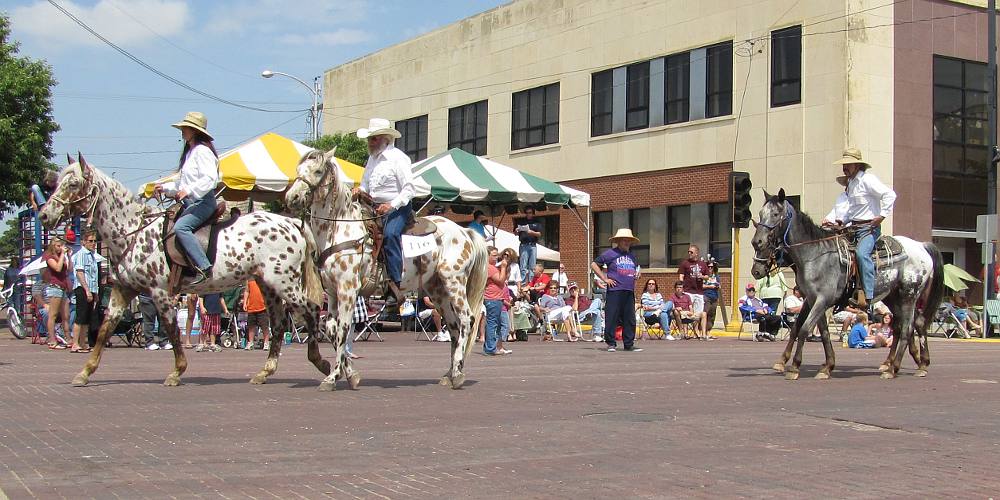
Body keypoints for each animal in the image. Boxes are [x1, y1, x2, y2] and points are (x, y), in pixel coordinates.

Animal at [38, 155, 328, 386]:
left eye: (73, 184)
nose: (44, 215)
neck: (135, 232)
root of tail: (293, 224)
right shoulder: (123, 290)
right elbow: (105, 329)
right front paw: (85, 372)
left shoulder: (160, 292)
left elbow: (171, 329)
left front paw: (177, 372)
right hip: (268, 286)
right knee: (278, 325)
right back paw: (265, 372)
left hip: (285, 284)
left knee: (312, 312)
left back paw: (322, 363)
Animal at [286, 146, 488, 388]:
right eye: (298, 170)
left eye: (317, 171)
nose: (292, 198)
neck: (340, 230)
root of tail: (465, 232)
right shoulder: (333, 293)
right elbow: (333, 329)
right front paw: (350, 374)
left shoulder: (348, 290)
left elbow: (343, 329)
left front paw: (332, 377)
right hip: (438, 290)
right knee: (454, 325)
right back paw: (449, 374)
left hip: (454, 283)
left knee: (466, 319)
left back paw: (457, 374)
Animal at [752, 189, 944, 380]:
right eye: (761, 214)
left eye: (775, 214)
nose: (757, 242)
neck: (814, 255)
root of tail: (921, 246)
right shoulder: (812, 299)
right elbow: (816, 331)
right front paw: (826, 366)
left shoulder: (823, 299)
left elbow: (804, 329)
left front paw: (794, 367)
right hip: (893, 296)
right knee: (909, 324)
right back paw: (914, 363)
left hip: (908, 295)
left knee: (907, 328)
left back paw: (894, 368)